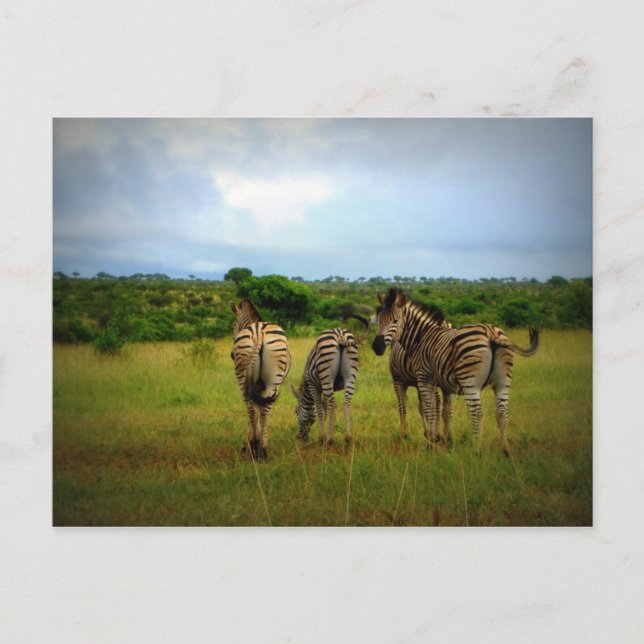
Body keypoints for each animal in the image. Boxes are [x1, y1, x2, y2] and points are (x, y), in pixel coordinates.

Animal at [230, 299, 291, 459]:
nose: (231, 354)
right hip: (273, 379)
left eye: (233, 326)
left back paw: (254, 446)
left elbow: (255, 409)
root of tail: (258, 332)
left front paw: (251, 442)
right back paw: (262, 449)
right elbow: (260, 409)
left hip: (242, 374)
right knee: (264, 409)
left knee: (251, 407)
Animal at [372, 288, 539, 455]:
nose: (377, 346)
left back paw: (476, 450)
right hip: (503, 380)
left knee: (477, 412)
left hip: (470, 381)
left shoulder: (424, 378)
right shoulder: (444, 384)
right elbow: (444, 410)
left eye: (395, 321)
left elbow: (428, 409)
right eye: (378, 321)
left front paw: (430, 441)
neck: (421, 337)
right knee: (501, 412)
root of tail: (490, 332)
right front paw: (445, 440)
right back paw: (506, 451)